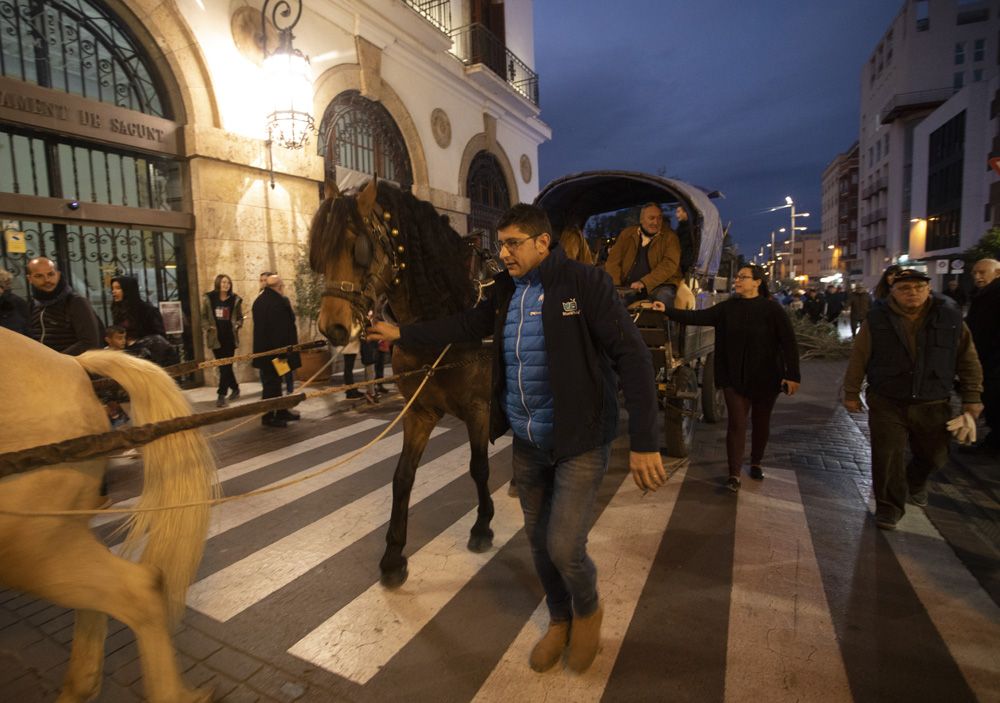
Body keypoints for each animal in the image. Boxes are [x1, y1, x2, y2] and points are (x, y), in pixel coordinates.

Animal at [304, 176, 492, 588]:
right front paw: (393, 556)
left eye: (359, 248)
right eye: (319, 252)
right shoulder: (419, 411)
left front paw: (483, 525)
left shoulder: (479, 408)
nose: (332, 328)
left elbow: (479, 466)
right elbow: (402, 476)